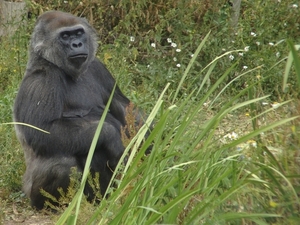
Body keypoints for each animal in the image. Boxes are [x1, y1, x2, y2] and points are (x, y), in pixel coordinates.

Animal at [12, 10, 142, 210]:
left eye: (79, 33)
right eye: (65, 36)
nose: (77, 44)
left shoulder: (98, 67)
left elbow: (125, 109)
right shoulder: (41, 81)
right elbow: (43, 131)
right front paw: (111, 136)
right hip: (32, 192)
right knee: (64, 165)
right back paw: (55, 205)